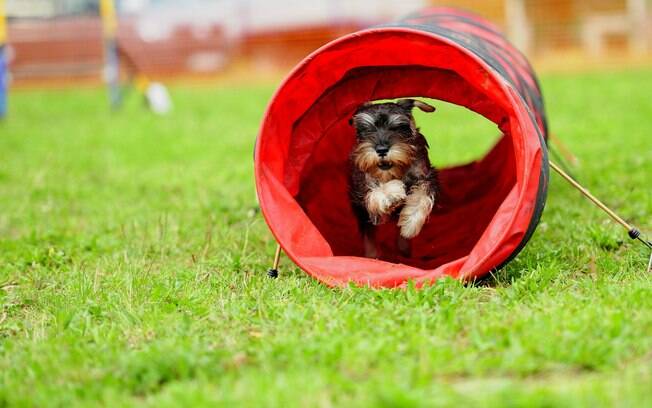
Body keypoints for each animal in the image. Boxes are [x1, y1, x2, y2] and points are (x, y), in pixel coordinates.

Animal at [348, 99, 440, 258]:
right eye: (367, 129)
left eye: (397, 127)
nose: (381, 150)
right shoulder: (367, 191)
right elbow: (378, 193)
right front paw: (391, 195)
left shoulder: (425, 176)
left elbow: (421, 197)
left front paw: (409, 225)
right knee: (368, 233)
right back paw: (371, 254)